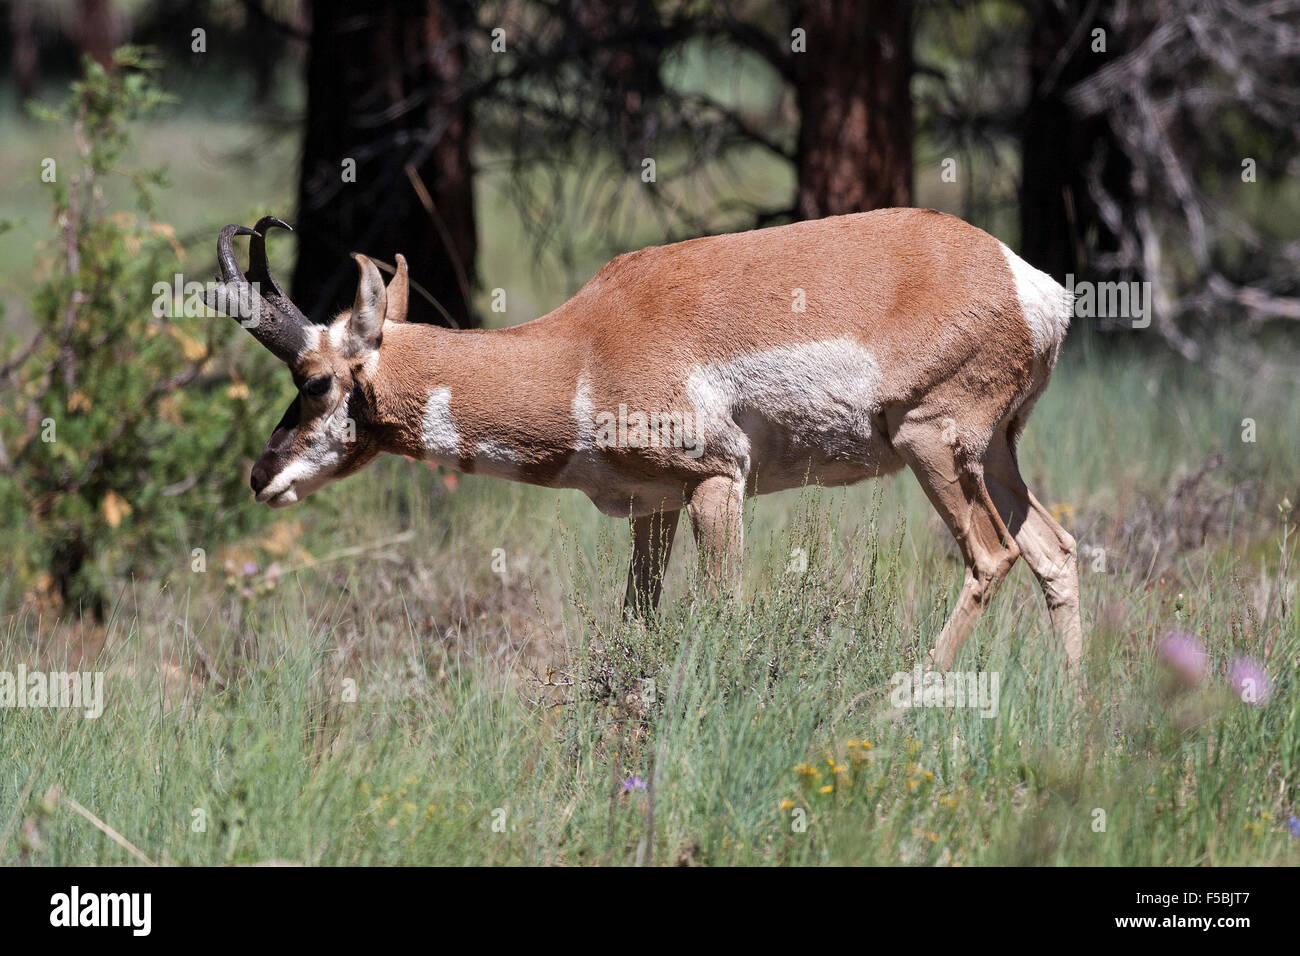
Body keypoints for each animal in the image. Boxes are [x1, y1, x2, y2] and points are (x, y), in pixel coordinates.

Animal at [208, 210, 1081, 681]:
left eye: (314, 379)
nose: (259, 476)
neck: (586, 343)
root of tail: (1025, 281)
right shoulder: (649, 511)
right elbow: (638, 622)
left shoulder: (716, 486)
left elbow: (723, 610)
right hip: (994, 456)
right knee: (1055, 552)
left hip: (931, 442)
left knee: (992, 555)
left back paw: (903, 701)